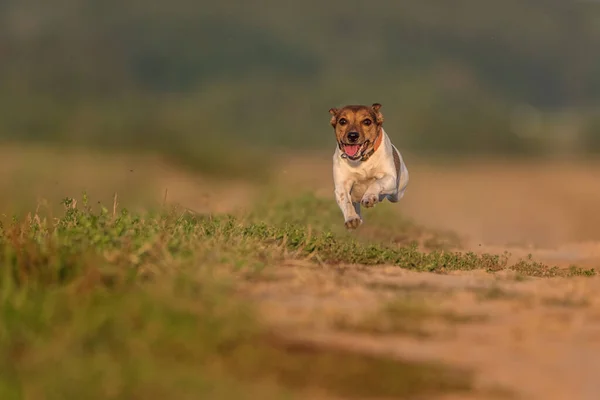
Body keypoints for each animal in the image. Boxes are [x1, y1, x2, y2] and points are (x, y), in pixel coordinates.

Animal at [328, 101, 408, 230]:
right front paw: (351, 219)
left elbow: (376, 183)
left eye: (367, 122)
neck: (361, 160)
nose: (352, 135)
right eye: (343, 121)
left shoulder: (389, 177)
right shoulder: (341, 186)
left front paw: (369, 197)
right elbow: (345, 200)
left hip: (397, 192)